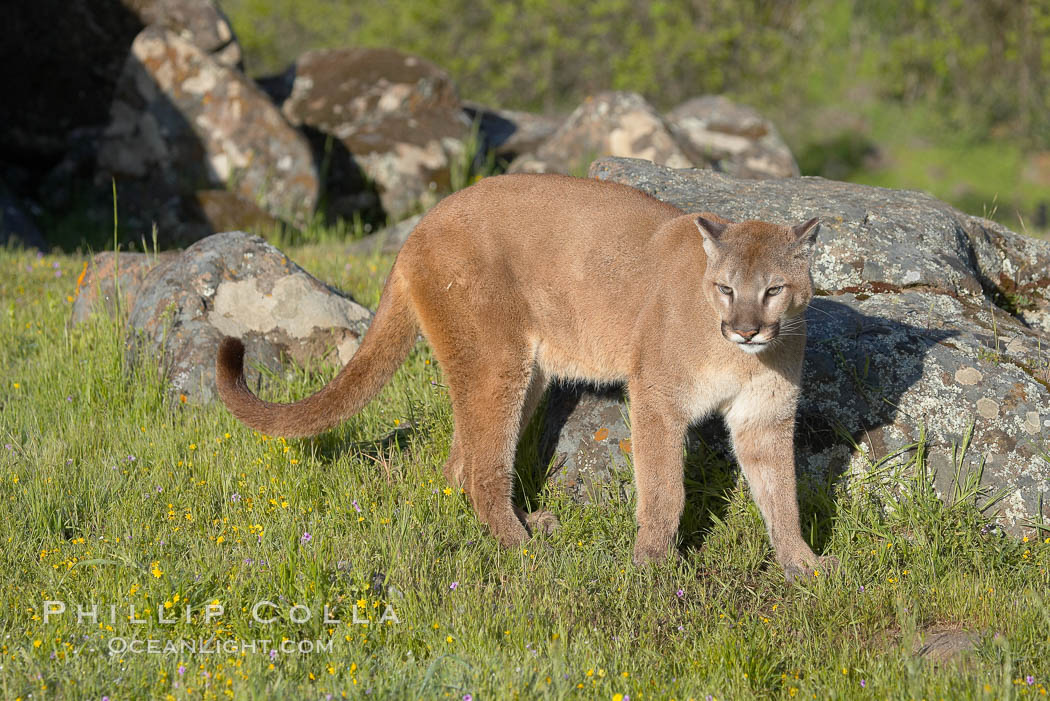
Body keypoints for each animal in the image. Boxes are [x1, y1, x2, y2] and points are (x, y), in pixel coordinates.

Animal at [217, 172, 831, 579]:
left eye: (774, 289)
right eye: (726, 287)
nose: (746, 330)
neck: (738, 356)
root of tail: (422, 225)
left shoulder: (764, 416)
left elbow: (781, 492)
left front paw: (804, 565)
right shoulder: (657, 397)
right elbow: (665, 489)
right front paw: (653, 566)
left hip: (524, 371)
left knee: (459, 465)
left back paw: (531, 526)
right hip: (497, 360)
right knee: (482, 470)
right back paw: (524, 547)